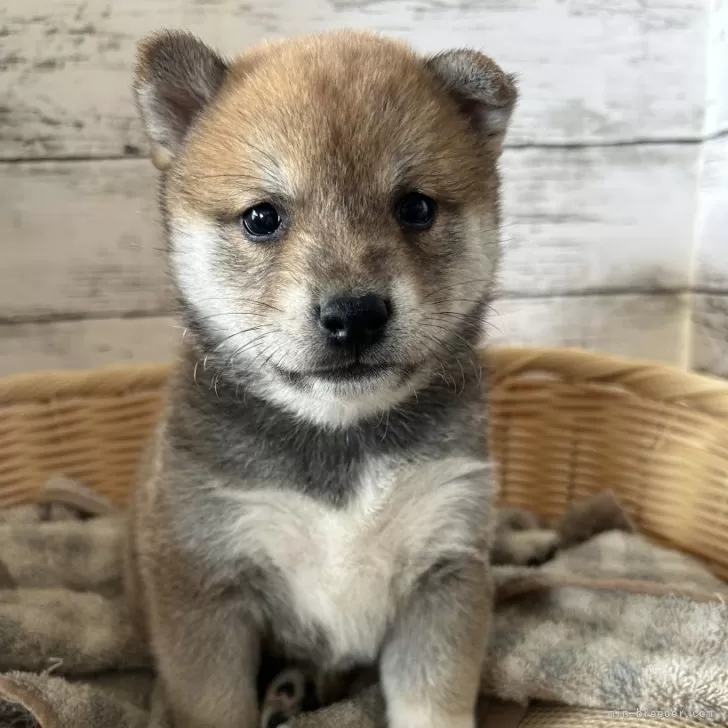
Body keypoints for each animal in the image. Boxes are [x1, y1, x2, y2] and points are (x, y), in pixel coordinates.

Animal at [129, 27, 516, 728]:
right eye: (262, 218)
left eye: (415, 208)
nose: (354, 315)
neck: (341, 439)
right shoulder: (203, 585)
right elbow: (214, 704)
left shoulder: (446, 566)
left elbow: (433, 702)